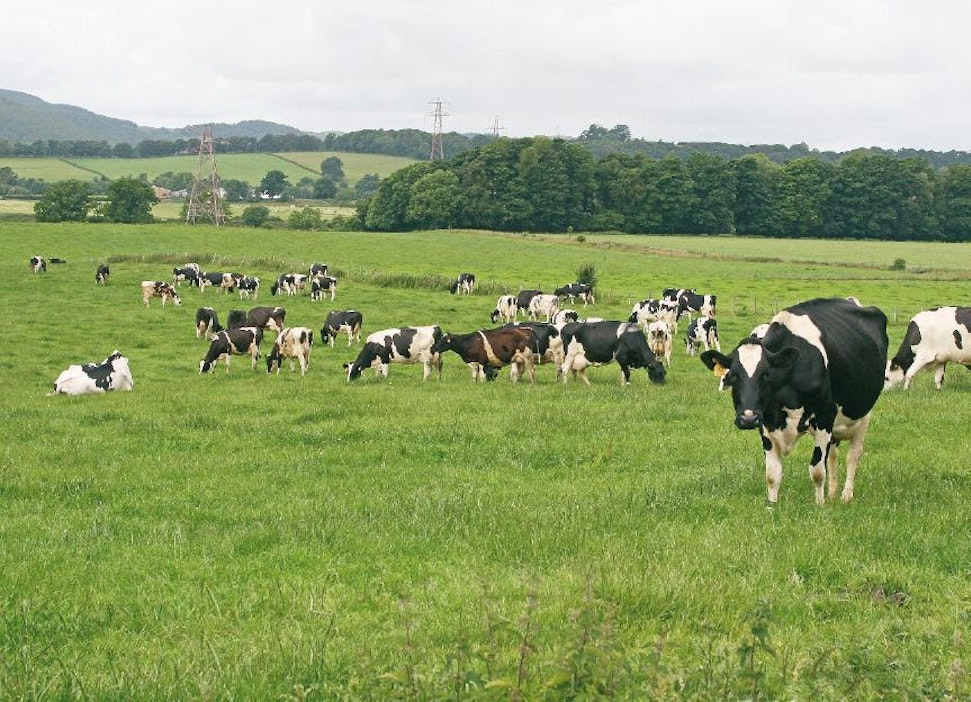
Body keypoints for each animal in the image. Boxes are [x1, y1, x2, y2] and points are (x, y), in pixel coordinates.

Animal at [699, 297, 888, 505]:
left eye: (766, 374)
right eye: (733, 376)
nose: (748, 418)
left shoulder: (825, 415)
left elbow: (817, 470)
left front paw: (819, 505)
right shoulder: (765, 423)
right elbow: (772, 474)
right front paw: (772, 504)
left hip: (863, 414)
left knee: (853, 455)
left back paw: (846, 495)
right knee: (833, 455)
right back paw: (832, 493)